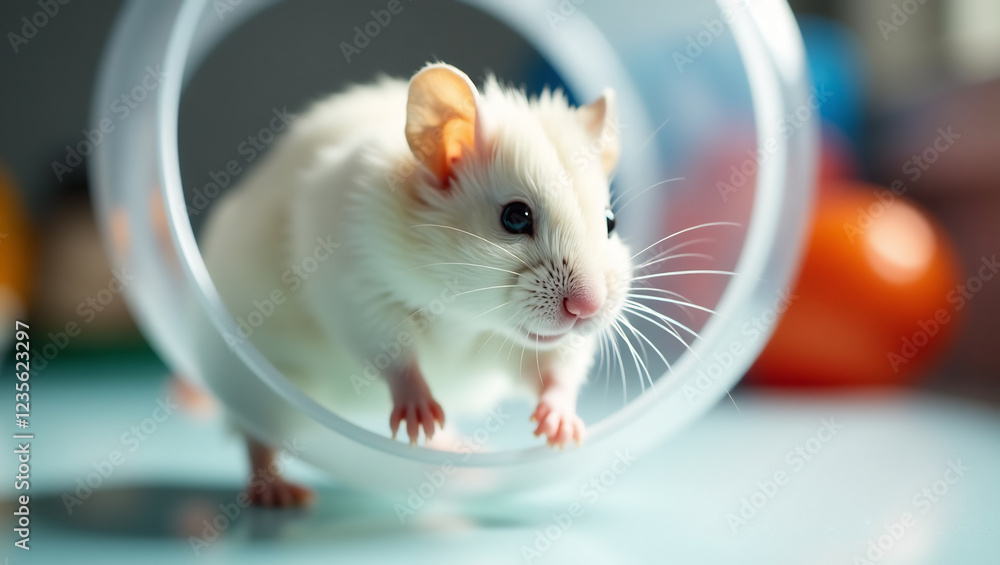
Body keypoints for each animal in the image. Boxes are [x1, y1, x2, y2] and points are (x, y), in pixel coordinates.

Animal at [199, 63, 631, 506]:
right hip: (256, 383)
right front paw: (418, 417)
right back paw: (281, 494)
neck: (468, 315)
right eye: (515, 217)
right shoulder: (356, 288)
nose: (588, 309)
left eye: (610, 222)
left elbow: (556, 370)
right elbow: (394, 355)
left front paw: (561, 432)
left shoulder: (540, 348)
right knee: (256, 435)